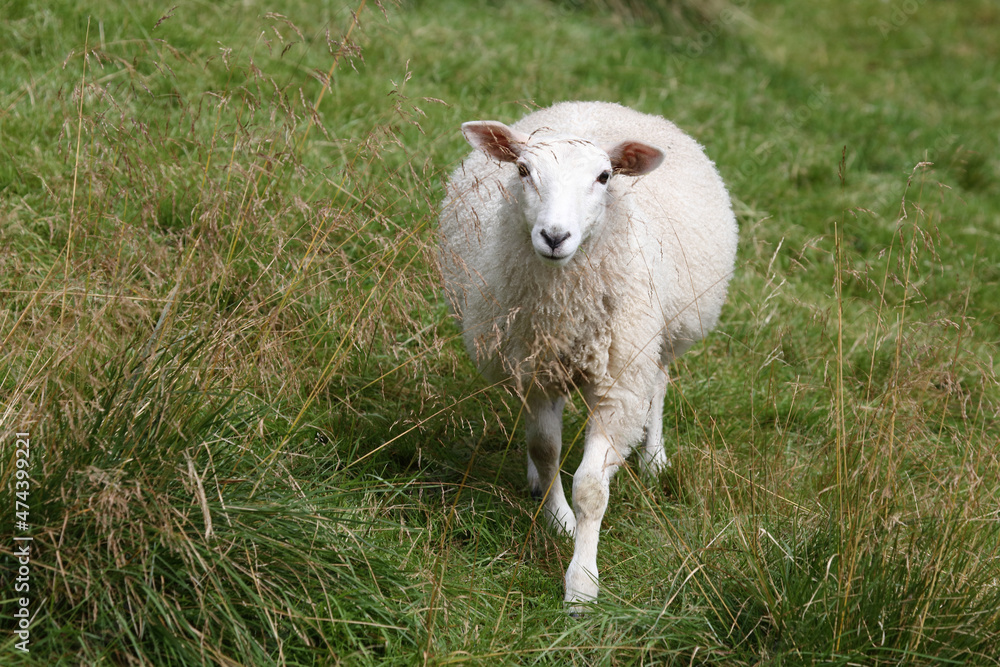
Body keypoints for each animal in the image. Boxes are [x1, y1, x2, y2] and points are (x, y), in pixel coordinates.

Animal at [438, 101, 738, 610]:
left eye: (603, 177)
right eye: (522, 170)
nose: (554, 236)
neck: (566, 305)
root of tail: (602, 105)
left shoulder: (621, 382)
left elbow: (593, 488)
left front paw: (581, 584)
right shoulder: (537, 367)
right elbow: (546, 449)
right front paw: (557, 518)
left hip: (663, 332)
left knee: (659, 383)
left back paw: (653, 458)